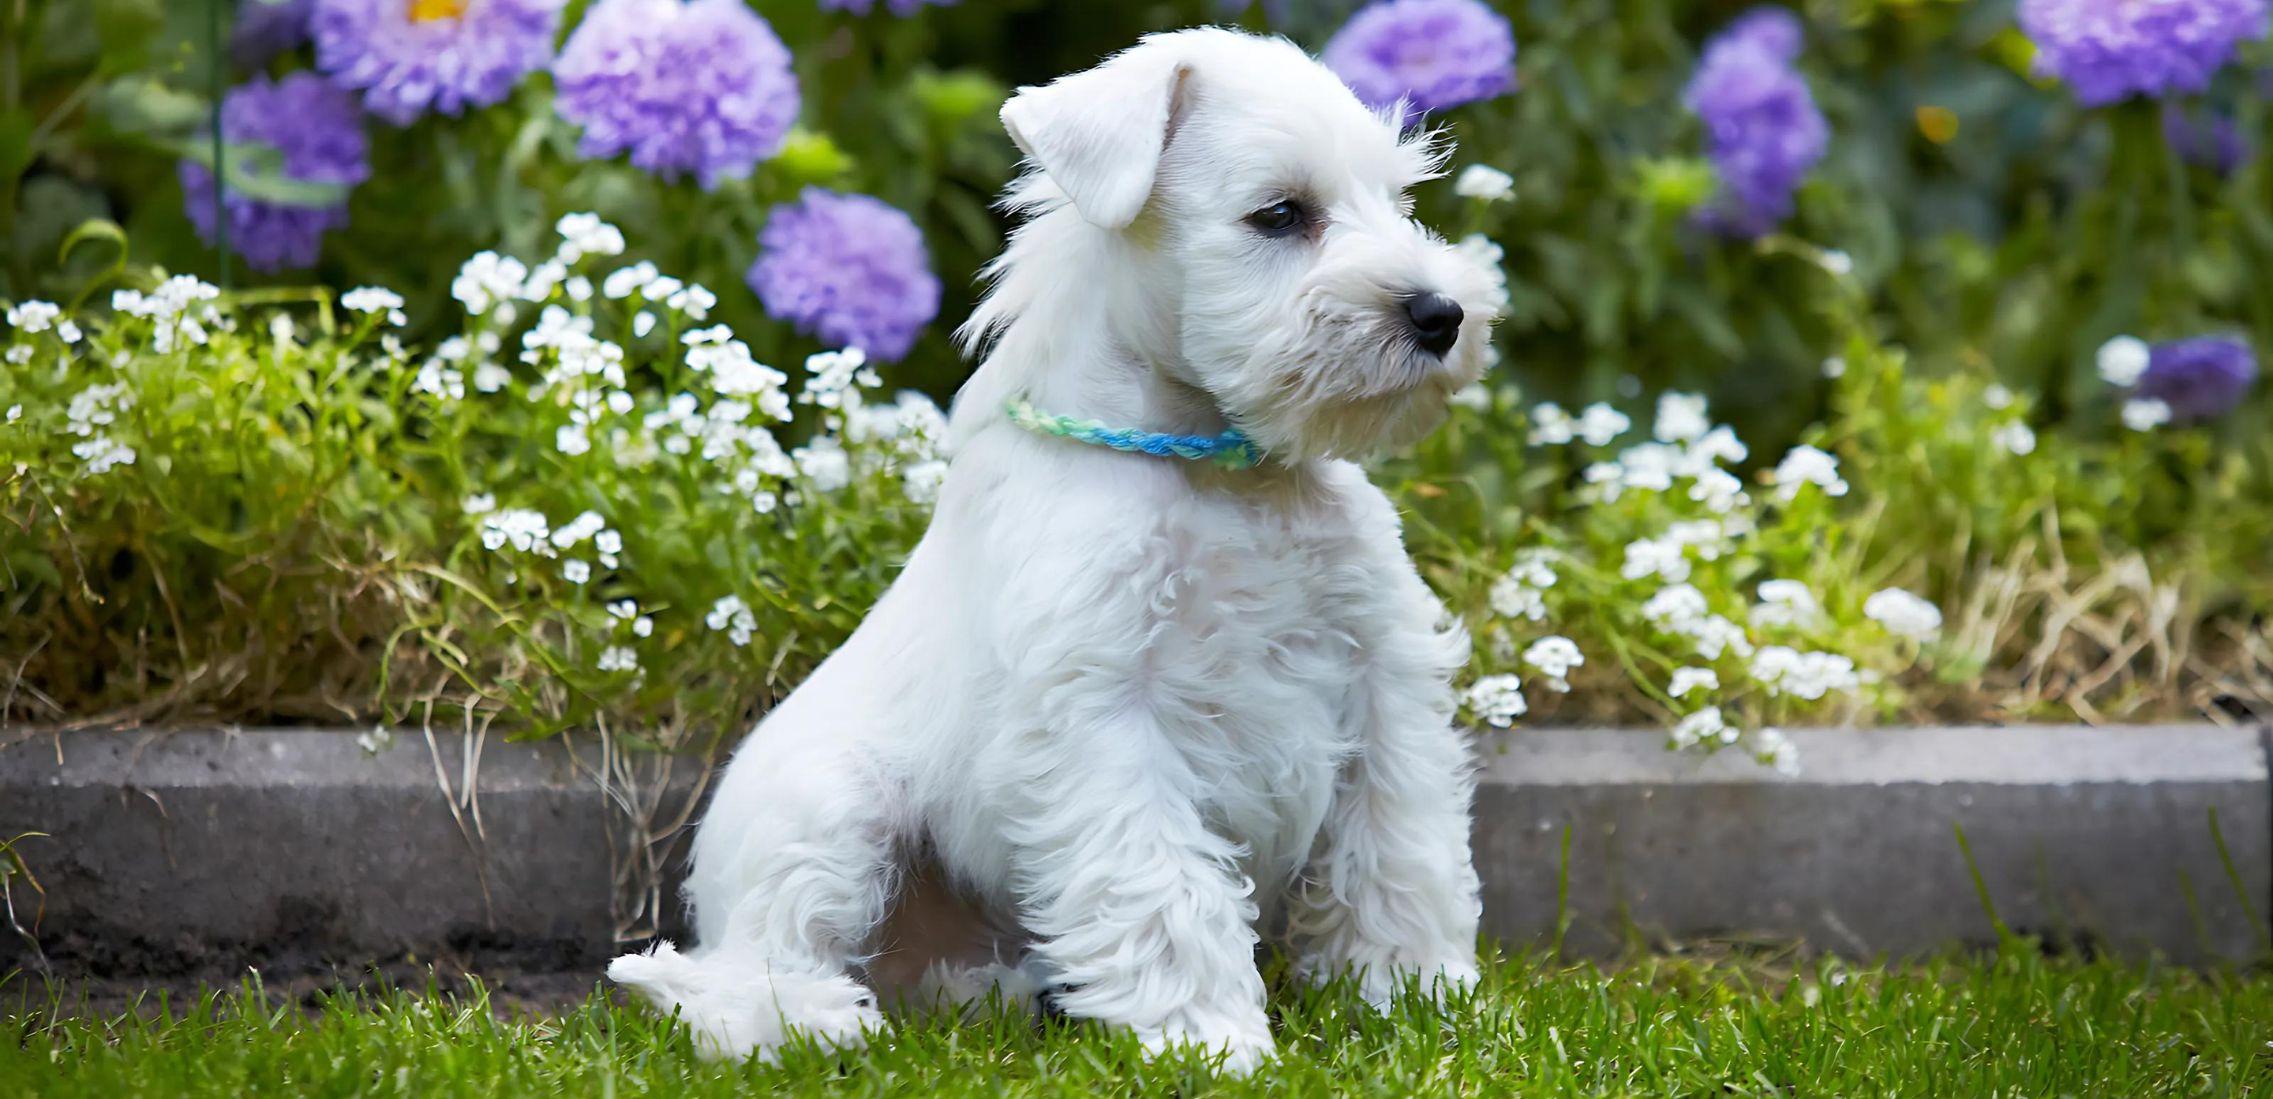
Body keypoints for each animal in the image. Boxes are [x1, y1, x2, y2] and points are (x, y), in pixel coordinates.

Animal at [618, 27, 1509, 1071]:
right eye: (1280, 213)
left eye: (1400, 198)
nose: (1442, 314)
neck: (1217, 473)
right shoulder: (1106, 718)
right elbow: (1162, 885)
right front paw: (1208, 1037)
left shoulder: (1381, 685)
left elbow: (1398, 852)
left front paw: (1418, 996)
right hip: (826, 811)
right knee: (745, 971)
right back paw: (820, 1019)